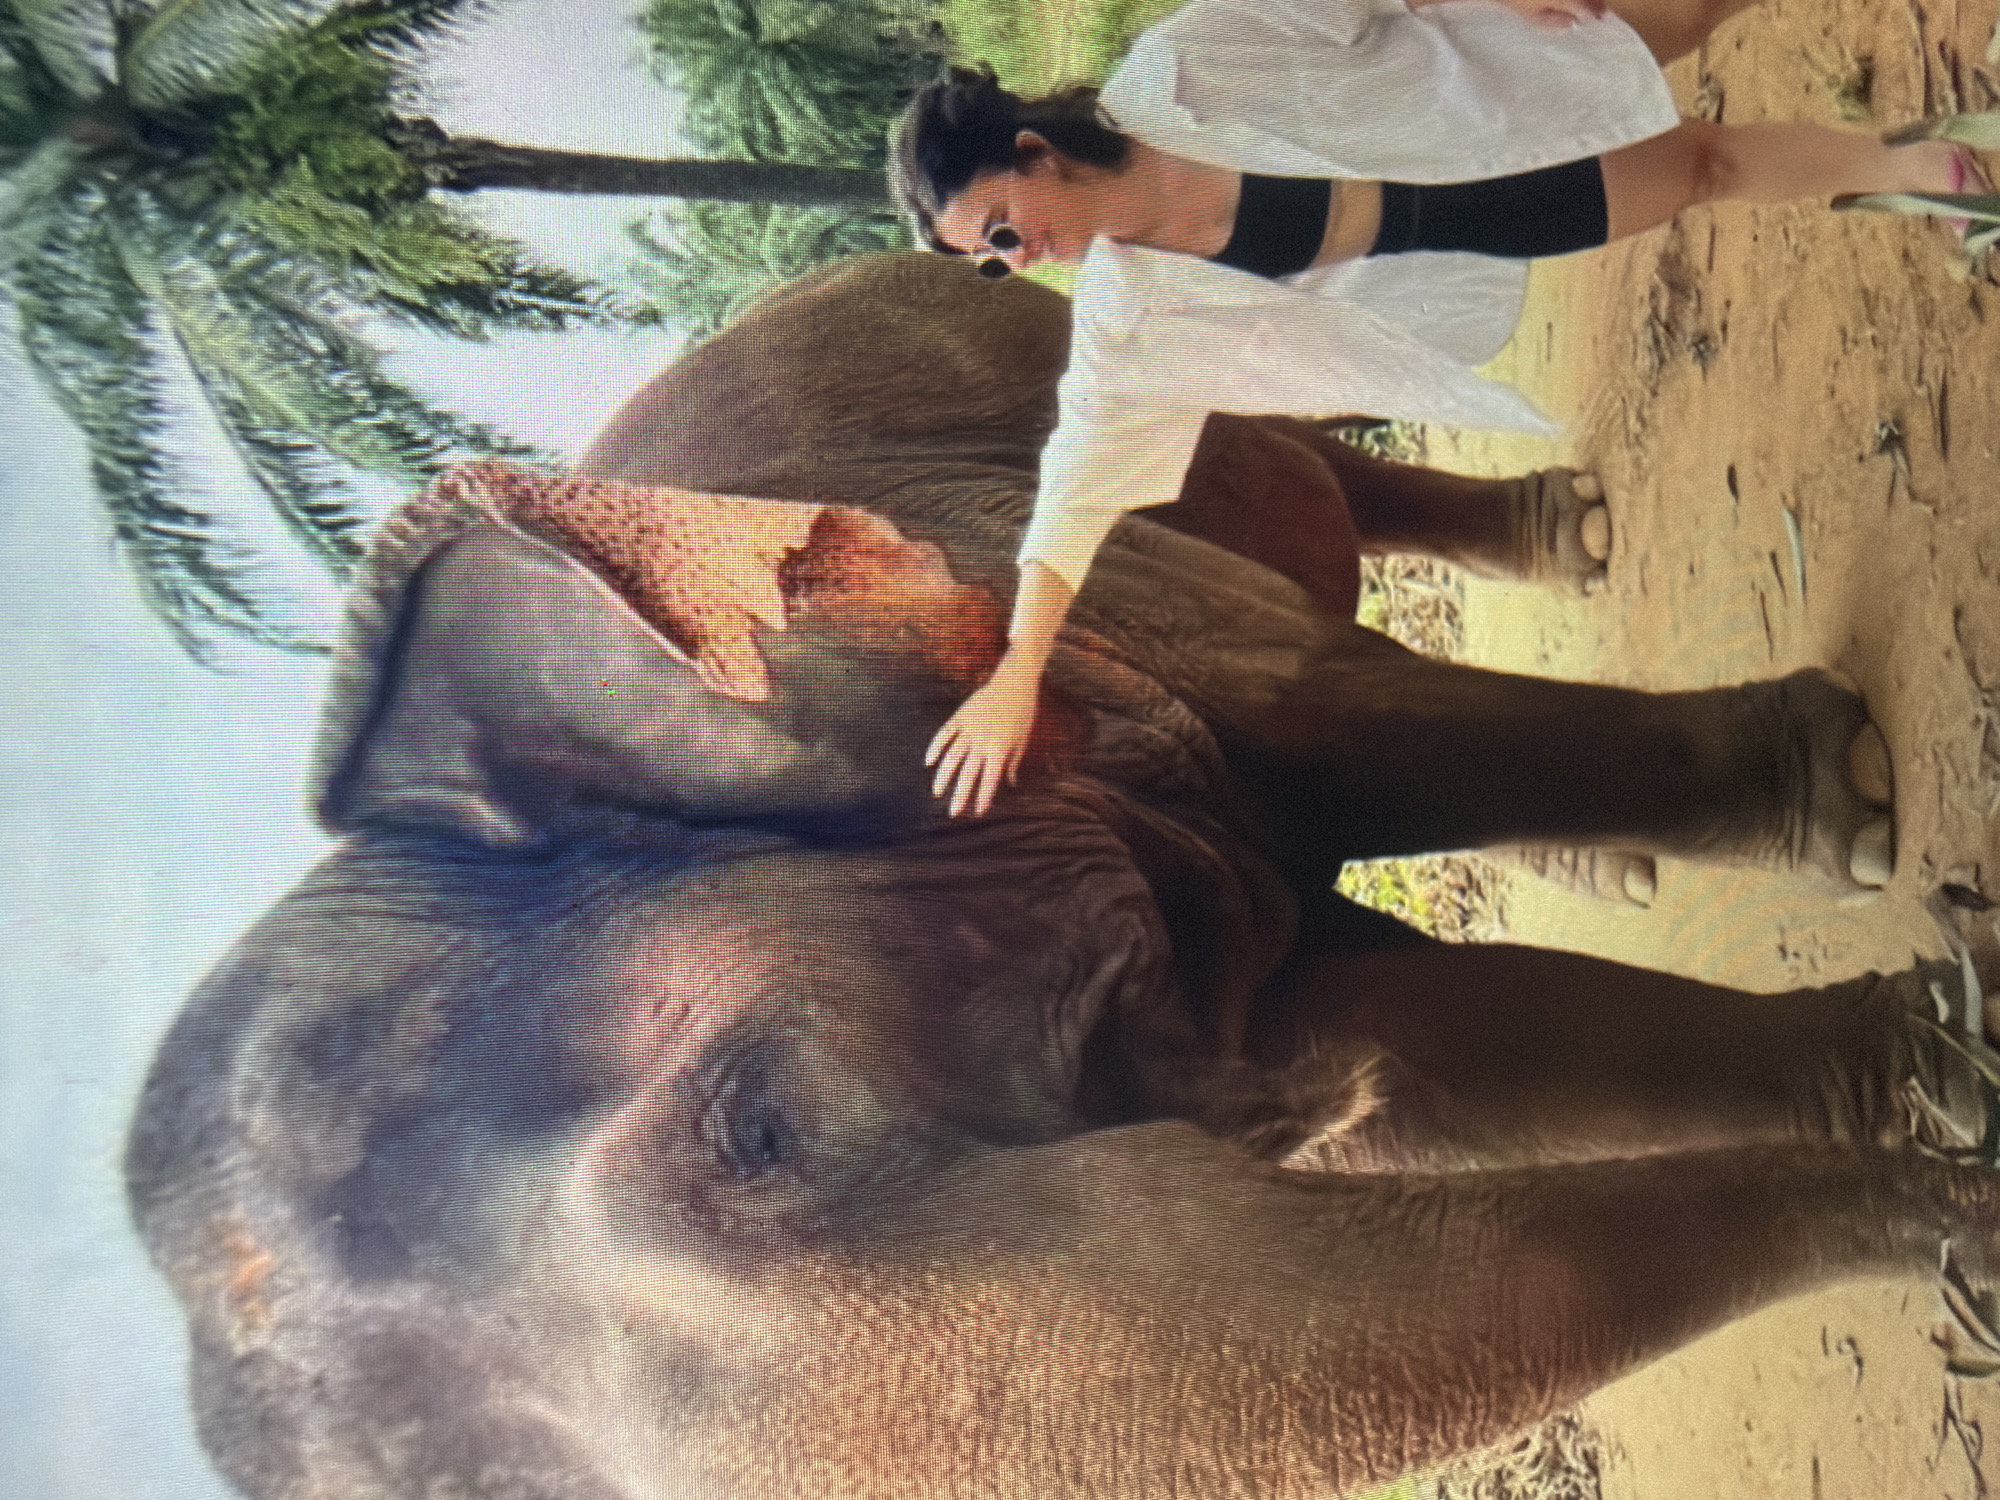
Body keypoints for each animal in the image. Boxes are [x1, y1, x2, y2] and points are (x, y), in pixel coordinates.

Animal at [128, 252, 1997, 1500]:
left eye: (759, 1133)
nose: (1964, 1244)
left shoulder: (1028, 616)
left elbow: (1354, 732)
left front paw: (1869, 844)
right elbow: (1456, 1057)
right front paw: (1950, 1103)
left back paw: (1584, 542)